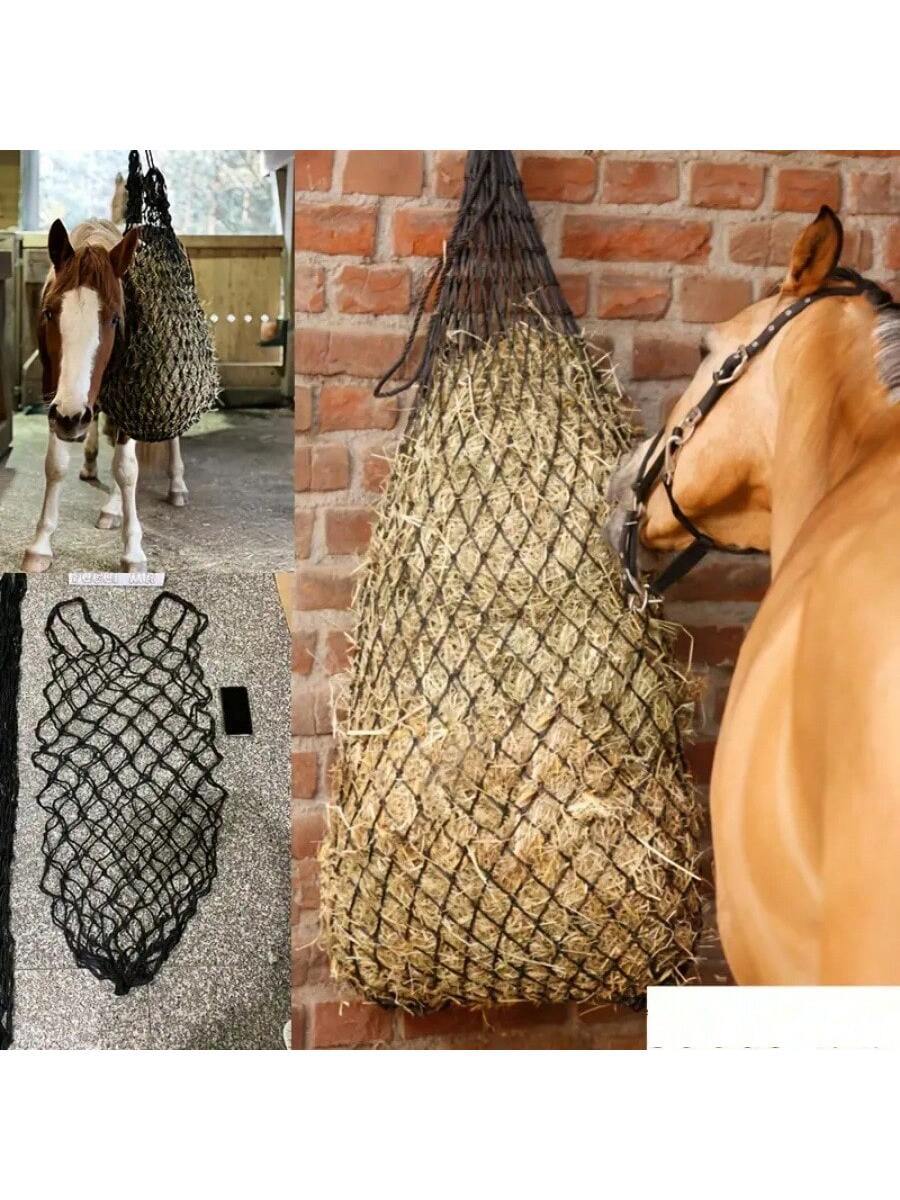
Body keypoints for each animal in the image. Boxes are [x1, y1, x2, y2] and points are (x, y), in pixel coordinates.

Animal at [24, 217, 189, 574]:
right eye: (49, 313)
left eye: (114, 318)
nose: (71, 417)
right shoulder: (54, 394)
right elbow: (56, 465)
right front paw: (41, 544)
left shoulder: (130, 398)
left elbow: (126, 469)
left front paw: (133, 551)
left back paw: (175, 487)